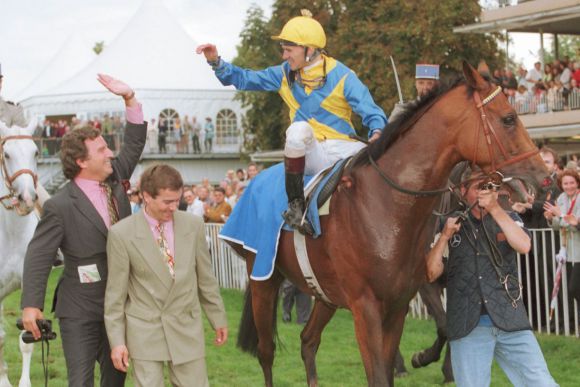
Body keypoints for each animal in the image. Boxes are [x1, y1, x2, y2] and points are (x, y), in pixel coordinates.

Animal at [227, 62, 548, 386]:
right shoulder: (368, 306)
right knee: (266, 352)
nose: (544, 177)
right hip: (263, 279)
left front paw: (430, 362)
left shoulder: (398, 304)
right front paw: (420, 360)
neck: (387, 205)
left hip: (325, 295)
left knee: (308, 340)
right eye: (509, 119)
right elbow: (388, 368)